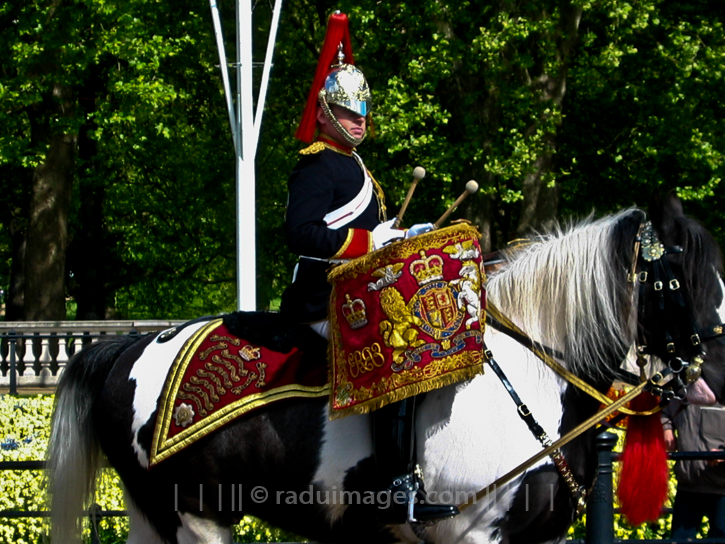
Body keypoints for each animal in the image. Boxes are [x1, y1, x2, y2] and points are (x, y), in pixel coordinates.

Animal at [46, 196, 724, 544]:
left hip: (154, 516)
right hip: (197, 516)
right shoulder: (472, 535)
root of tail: (127, 348)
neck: (531, 381)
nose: (710, 377)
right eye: (679, 280)